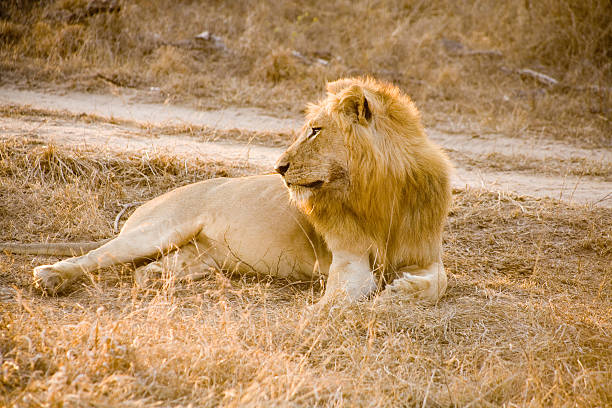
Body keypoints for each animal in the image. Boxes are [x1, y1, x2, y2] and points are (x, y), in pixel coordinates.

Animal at [0, 78, 452, 304]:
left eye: (315, 130)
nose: (279, 168)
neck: (379, 194)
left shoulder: (425, 254)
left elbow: (440, 282)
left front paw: (403, 289)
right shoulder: (348, 259)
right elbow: (348, 293)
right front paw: (333, 310)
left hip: (200, 259)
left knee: (147, 271)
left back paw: (161, 281)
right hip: (158, 229)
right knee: (97, 256)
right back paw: (51, 277)